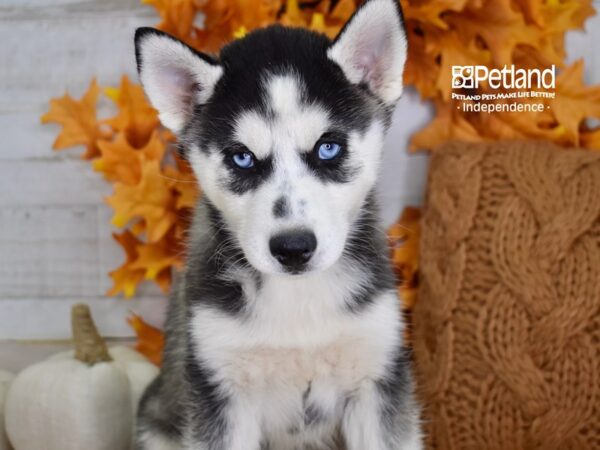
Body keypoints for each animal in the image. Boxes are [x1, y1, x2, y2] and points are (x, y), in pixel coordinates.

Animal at [134, 0, 422, 450]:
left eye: (328, 147)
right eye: (242, 158)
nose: (293, 248)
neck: (298, 300)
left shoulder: (377, 375)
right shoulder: (221, 392)